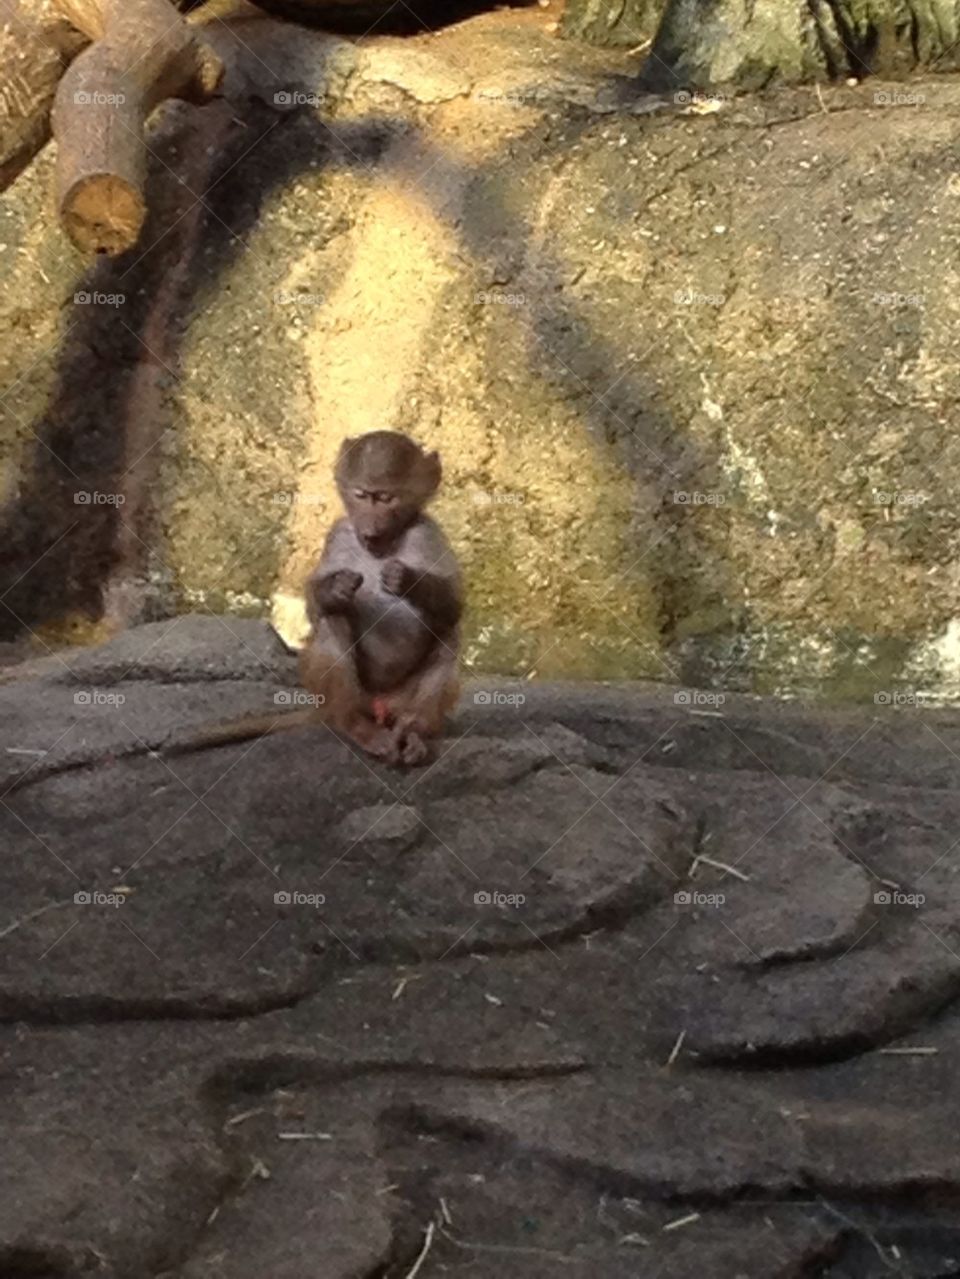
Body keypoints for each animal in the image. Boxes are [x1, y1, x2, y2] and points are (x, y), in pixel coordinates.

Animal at [170, 431, 462, 767]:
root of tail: (378, 705)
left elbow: (452, 607)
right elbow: (316, 605)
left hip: (401, 701)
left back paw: (415, 731)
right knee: (334, 621)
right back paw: (357, 726)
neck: (384, 546)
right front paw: (336, 588)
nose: (370, 528)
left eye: (386, 498)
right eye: (362, 495)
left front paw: (406, 580)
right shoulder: (339, 533)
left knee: (447, 636)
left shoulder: (428, 534)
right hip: (352, 698)